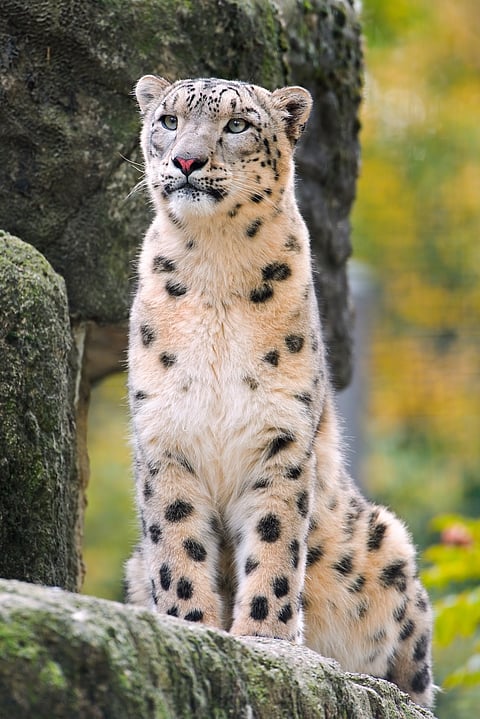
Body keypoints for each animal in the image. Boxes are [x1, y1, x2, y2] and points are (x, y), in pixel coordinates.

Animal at [125, 74, 434, 708]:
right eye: (168, 120)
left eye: (238, 124)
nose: (186, 159)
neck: (214, 264)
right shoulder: (164, 434)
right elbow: (177, 543)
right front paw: (191, 625)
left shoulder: (280, 437)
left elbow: (273, 540)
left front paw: (264, 637)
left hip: (387, 544)